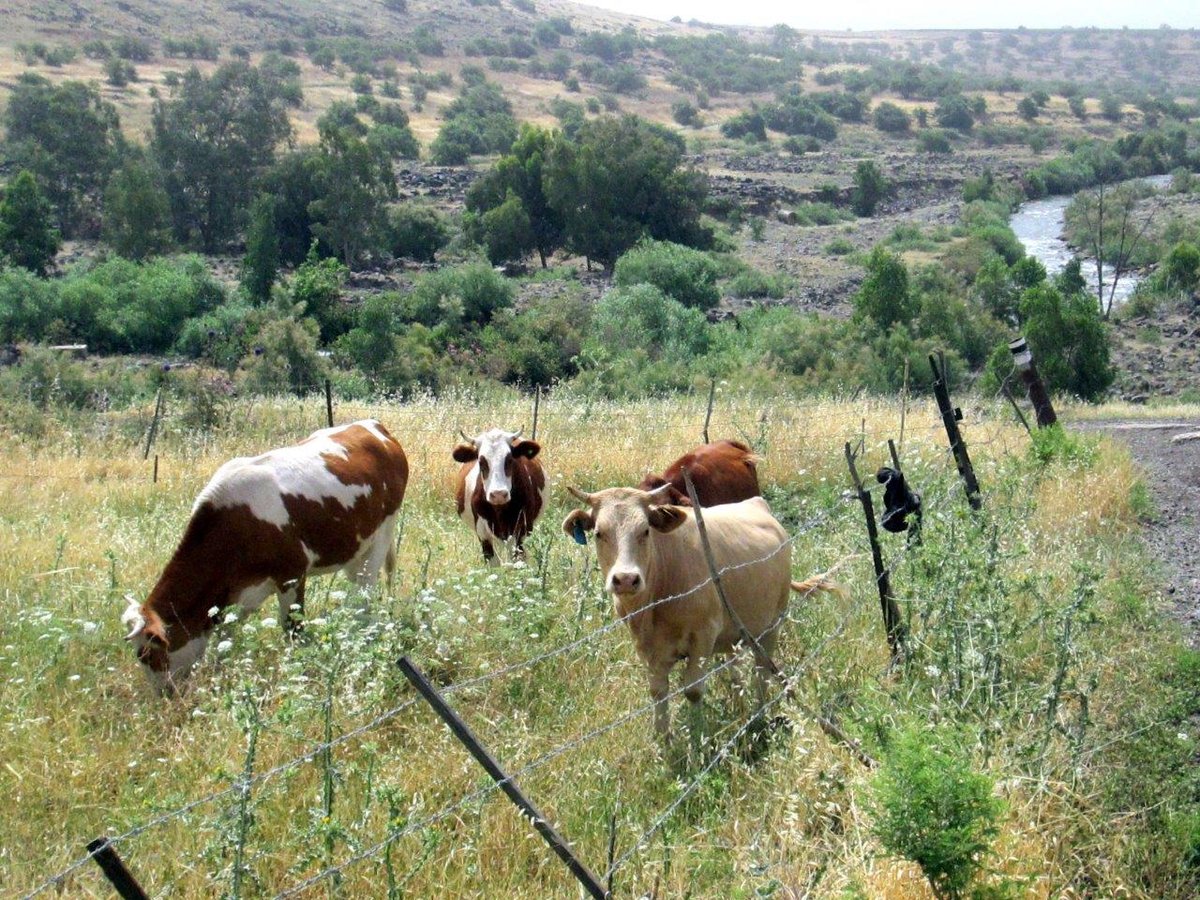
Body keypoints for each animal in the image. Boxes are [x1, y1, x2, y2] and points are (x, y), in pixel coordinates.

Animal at [123, 420, 408, 696]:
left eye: (145, 655)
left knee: (365, 591)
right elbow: (225, 639)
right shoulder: (241, 593)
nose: (163, 695)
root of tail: (374, 426)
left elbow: (293, 629)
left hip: (383, 532)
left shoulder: (292, 575)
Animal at [559, 489, 835, 734]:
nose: (626, 579)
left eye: (645, 531)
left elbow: (693, 690)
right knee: (735, 667)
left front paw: (698, 739)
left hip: (772, 623)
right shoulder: (647, 646)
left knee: (762, 670)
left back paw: (759, 714)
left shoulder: (703, 635)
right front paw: (664, 743)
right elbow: (658, 692)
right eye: (598, 533)